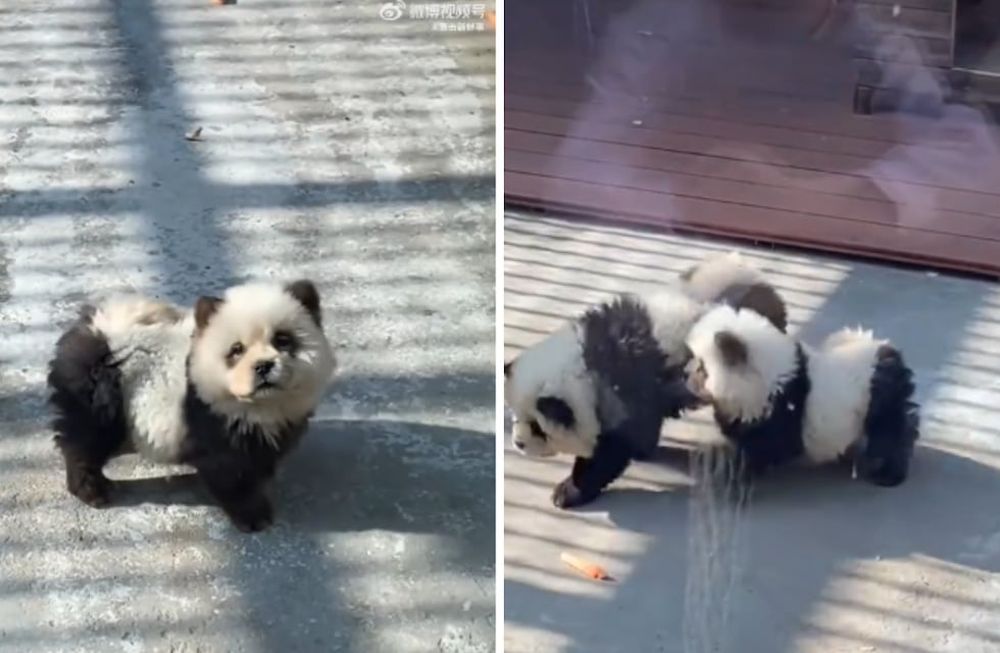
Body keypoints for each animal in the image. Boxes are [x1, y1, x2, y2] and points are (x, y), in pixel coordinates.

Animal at [47, 280, 337, 532]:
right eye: (236, 350)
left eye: (282, 340)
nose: (263, 366)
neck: (260, 404)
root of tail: (98, 330)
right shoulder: (211, 421)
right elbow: (229, 473)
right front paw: (253, 515)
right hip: (100, 394)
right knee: (85, 440)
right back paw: (93, 490)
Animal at [504, 253, 789, 509]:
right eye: (516, 417)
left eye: (539, 428)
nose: (518, 443)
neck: (583, 364)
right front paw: (643, 451)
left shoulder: (622, 389)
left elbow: (610, 451)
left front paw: (569, 491)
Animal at [683, 304, 919, 486]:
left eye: (702, 368)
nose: (686, 377)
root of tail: (888, 354)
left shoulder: (777, 409)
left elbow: (761, 448)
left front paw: (732, 476)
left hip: (879, 400)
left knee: (890, 434)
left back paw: (888, 473)